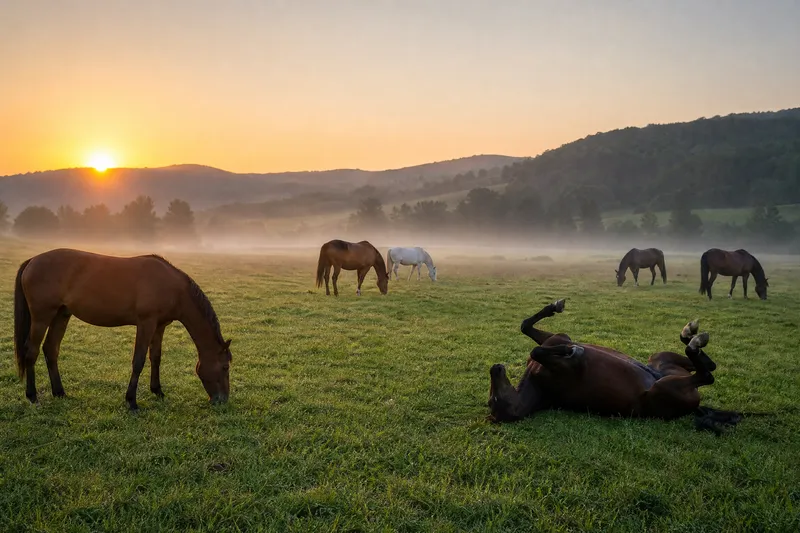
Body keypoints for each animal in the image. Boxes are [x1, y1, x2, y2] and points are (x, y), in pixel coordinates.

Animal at [14, 248, 233, 410]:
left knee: (51, 349)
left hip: (61, 315)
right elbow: (139, 361)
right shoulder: (146, 324)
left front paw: (157, 391)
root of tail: (32, 260)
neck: (173, 288)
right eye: (225, 367)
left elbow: (156, 358)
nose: (222, 399)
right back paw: (32, 396)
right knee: (31, 352)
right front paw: (131, 401)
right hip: (42, 316)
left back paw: (59, 392)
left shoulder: (159, 326)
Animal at [487, 299, 743, 434]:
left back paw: (689, 334)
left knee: (708, 364)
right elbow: (537, 350)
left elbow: (526, 328)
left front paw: (554, 308)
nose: (495, 368)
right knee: (707, 374)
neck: (538, 383)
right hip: (666, 387)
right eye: (493, 401)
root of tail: (695, 409)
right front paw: (572, 350)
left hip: (660, 359)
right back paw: (693, 340)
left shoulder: (556, 337)